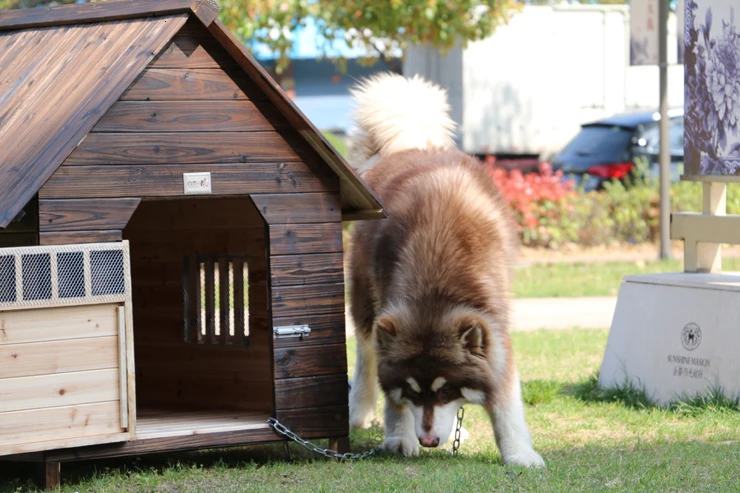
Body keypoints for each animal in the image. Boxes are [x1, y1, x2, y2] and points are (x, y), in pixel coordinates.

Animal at [346, 72, 544, 466]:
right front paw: (399, 436)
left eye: (446, 390)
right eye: (411, 391)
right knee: (364, 354)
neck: (435, 291)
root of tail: (411, 146)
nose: (428, 441)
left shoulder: (494, 327)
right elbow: (391, 398)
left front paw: (519, 453)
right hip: (363, 298)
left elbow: (506, 401)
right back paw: (359, 410)